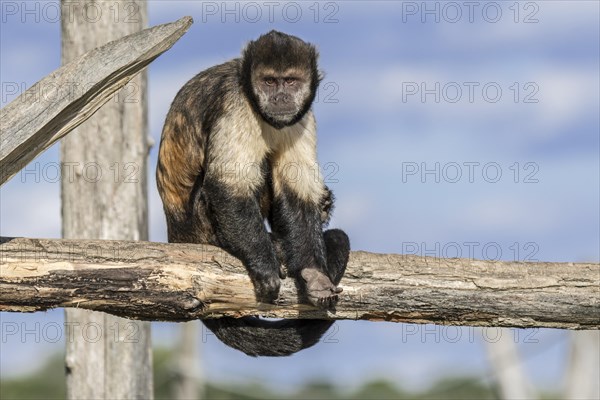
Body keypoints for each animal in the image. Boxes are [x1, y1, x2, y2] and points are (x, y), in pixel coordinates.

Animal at [157, 31, 350, 356]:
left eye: (291, 81)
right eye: (269, 82)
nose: (281, 97)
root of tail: (177, 234)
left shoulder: (302, 117)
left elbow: (296, 191)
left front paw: (314, 274)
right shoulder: (235, 103)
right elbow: (229, 184)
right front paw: (264, 264)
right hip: (202, 227)